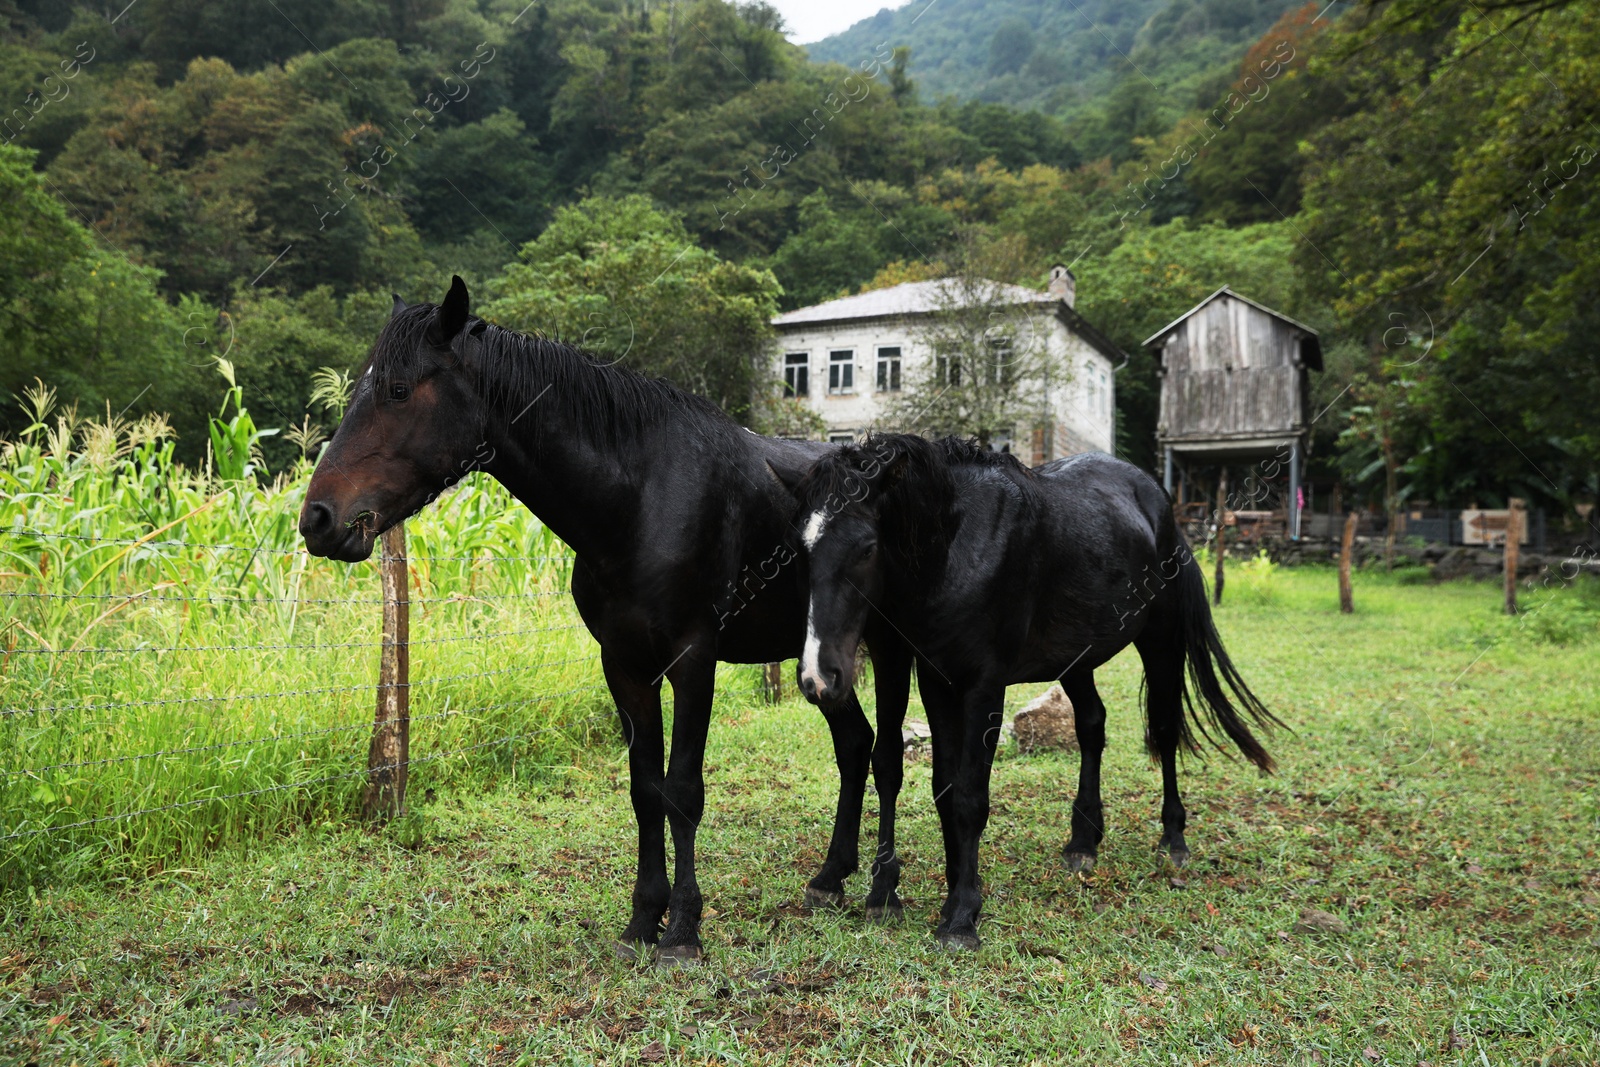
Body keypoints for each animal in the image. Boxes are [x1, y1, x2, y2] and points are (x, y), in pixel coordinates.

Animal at [300, 279, 915, 966]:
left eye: (400, 390)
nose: (317, 519)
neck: (640, 499)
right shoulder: (624, 666)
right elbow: (646, 792)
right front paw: (643, 920)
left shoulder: (693, 661)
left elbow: (684, 790)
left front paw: (683, 930)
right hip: (824, 663)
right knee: (855, 744)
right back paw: (831, 877)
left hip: (889, 647)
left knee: (886, 753)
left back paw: (883, 891)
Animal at [780, 435, 1280, 953]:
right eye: (802, 549)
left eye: (867, 548)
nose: (819, 677)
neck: (958, 545)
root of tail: (1159, 503)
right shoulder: (938, 682)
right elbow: (945, 788)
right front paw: (958, 887)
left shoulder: (984, 685)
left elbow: (970, 798)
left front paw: (961, 915)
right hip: (1078, 658)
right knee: (1092, 726)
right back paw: (1083, 842)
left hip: (1161, 641)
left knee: (1163, 730)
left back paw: (1173, 841)